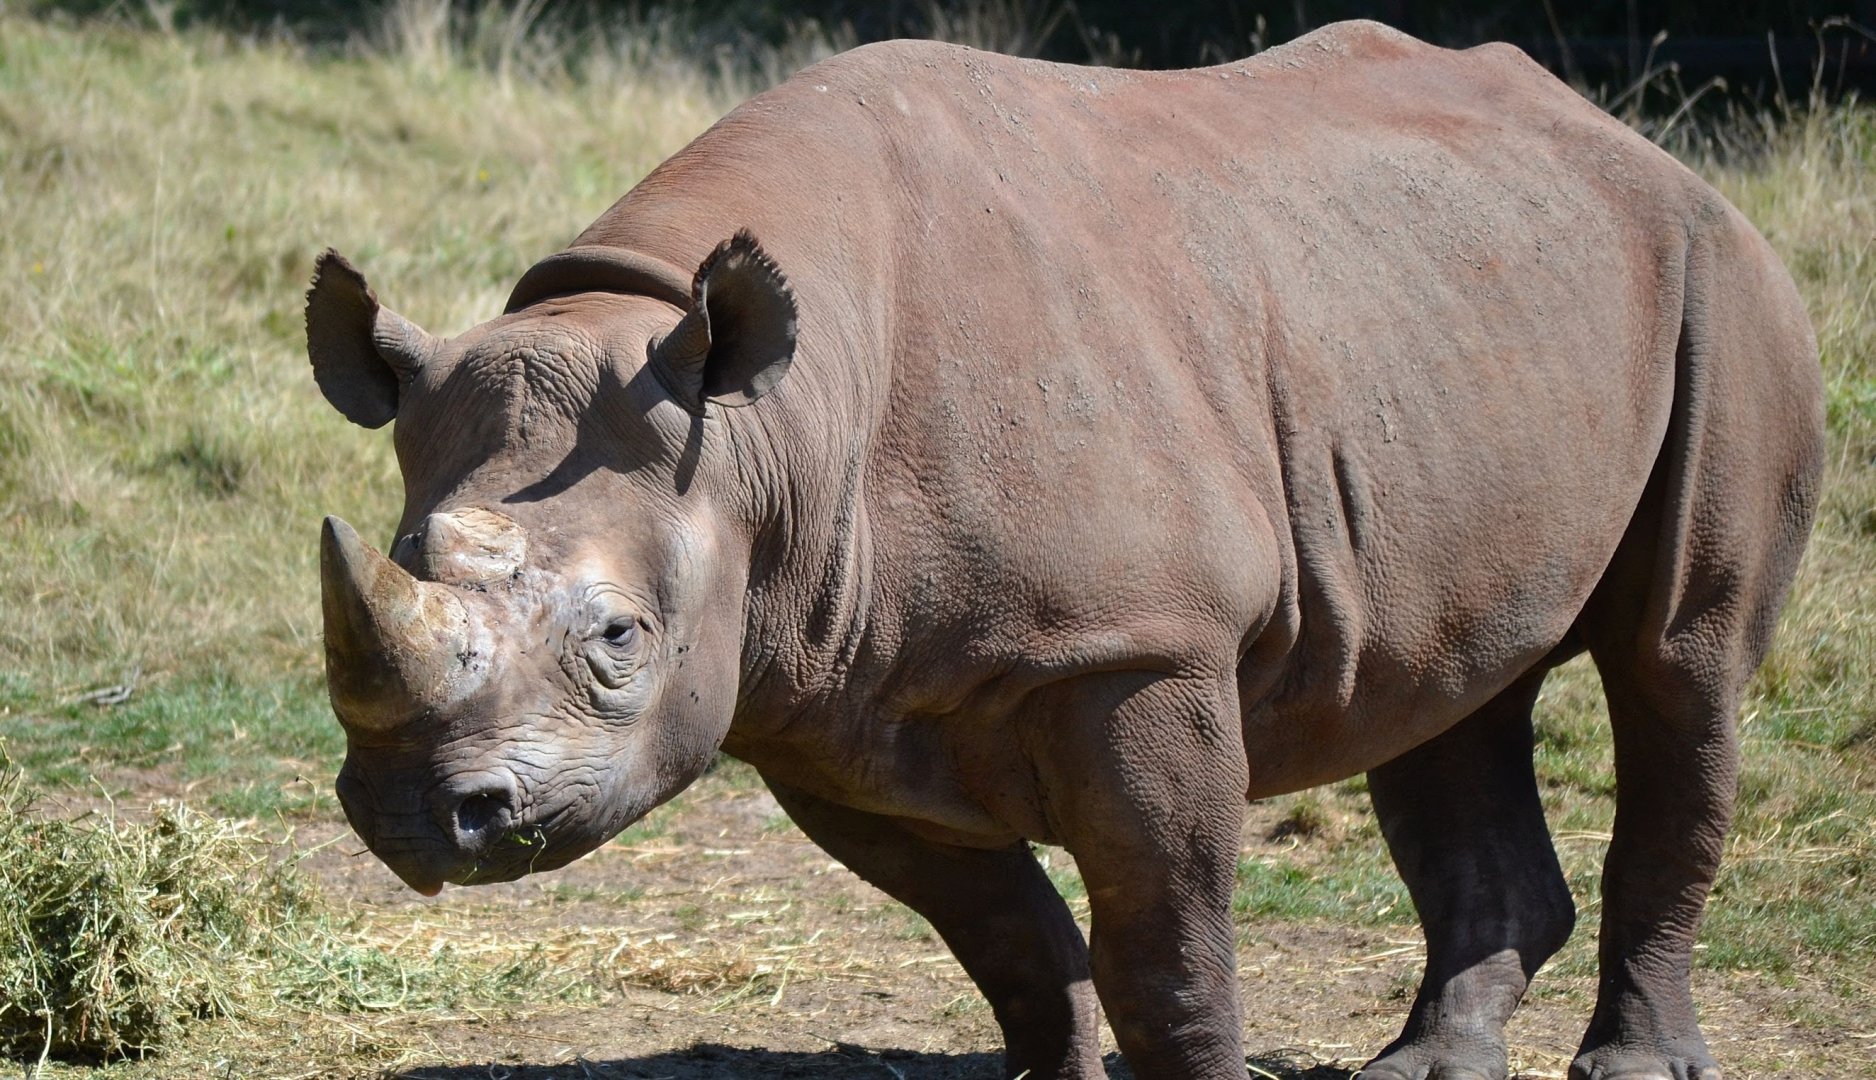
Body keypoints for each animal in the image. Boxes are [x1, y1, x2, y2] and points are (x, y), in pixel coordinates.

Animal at [306, 21, 1823, 1080]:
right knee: (1446, 679)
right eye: (398, 558)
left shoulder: (1143, 650)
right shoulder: (822, 697)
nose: (419, 816)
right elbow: (1017, 949)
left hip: (1722, 283)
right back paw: (1424, 1067)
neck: (766, 430)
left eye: (618, 640)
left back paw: (1632, 1058)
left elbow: (1167, 955)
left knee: (1677, 662)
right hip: (1452, 316)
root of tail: (1638, 144)